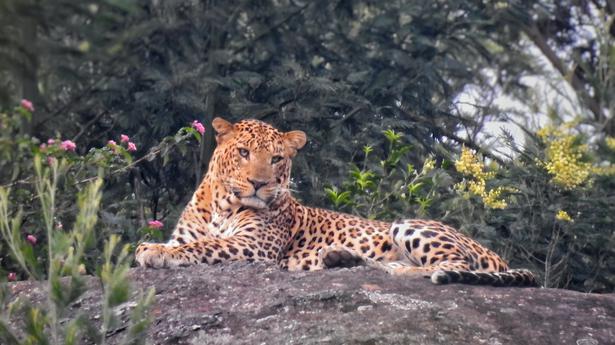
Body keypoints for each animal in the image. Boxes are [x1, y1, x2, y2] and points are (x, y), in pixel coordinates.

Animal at [136, 117, 540, 286]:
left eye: (277, 159)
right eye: (244, 152)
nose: (258, 183)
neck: (222, 204)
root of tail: (498, 256)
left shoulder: (254, 246)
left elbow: (205, 246)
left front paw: (153, 252)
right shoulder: (188, 233)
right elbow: (188, 242)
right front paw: (153, 248)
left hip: (411, 224)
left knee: (449, 265)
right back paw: (340, 259)